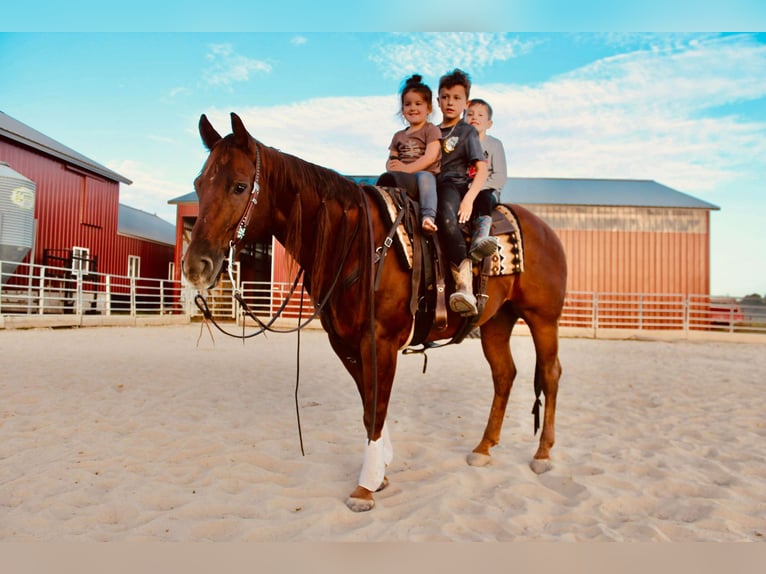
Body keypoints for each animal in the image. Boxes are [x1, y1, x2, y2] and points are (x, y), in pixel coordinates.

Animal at [183, 113, 568, 512]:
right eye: (198, 184)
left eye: (240, 186)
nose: (196, 265)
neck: (354, 242)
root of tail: (545, 230)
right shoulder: (346, 344)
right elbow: (369, 406)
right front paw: (380, 470)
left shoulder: (380, 342)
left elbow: (377, 409)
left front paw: (365, 487)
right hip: (496, 322)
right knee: (504, 376)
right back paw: (484, 448)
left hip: (542, 318)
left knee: (550, 374)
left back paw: (542, 454)